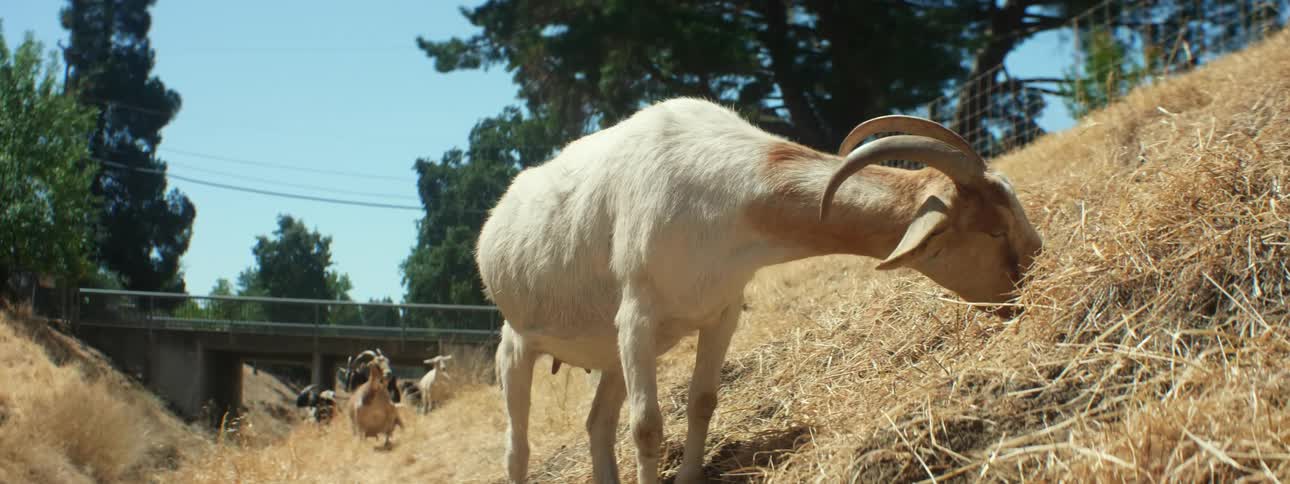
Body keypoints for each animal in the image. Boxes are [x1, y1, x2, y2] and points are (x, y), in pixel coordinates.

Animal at [475, 97, 1044, 484]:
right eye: (993, 232)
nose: (1029, 283)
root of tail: (494, 224)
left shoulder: (721, 312)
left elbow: (703, 401)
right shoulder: (637, 317)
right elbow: (647, 426)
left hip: (610, 354)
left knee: (596, 424)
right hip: (518, 344)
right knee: (517, 449)